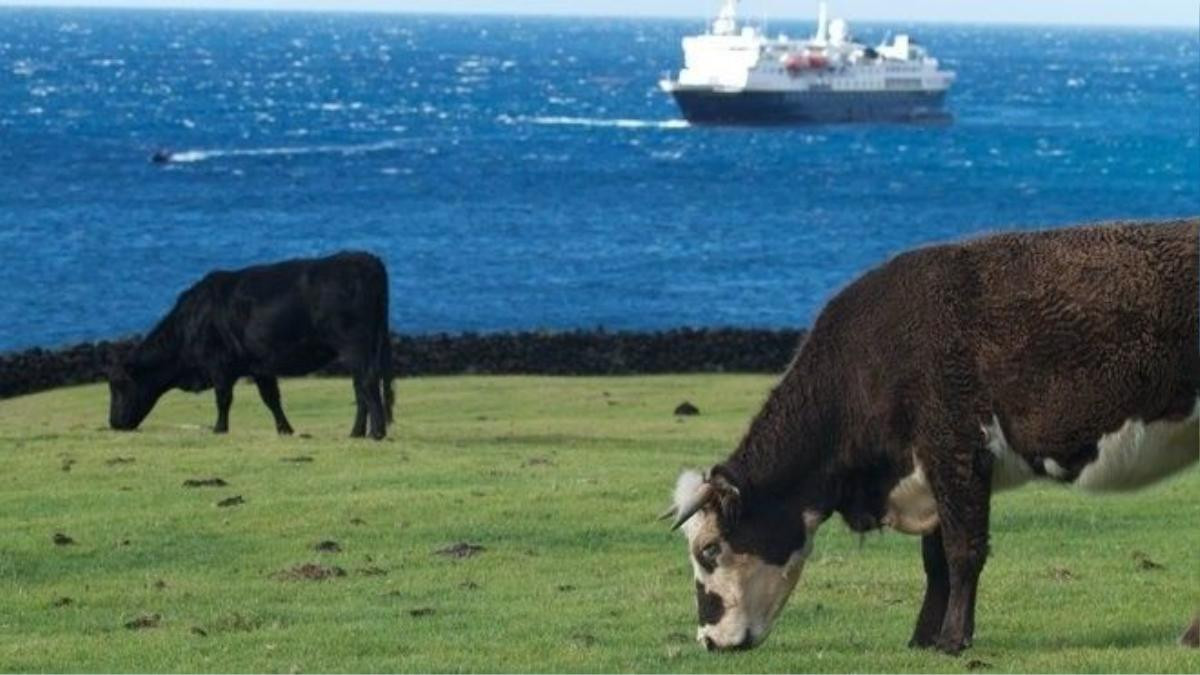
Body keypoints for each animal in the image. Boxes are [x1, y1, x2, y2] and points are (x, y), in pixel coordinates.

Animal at [109, 251, 393, 437]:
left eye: (119, 385)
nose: (113, 423)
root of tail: (368, 260)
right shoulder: (259, 366)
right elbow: (271, 399)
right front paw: (285, 429)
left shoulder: (219, 364)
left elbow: (223, 398)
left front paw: (219, 428)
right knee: (360, 387)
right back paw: (357, 432)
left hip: (355, 347)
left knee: (367, 383)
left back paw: (376, 432)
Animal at [667, 219, 1200, 653]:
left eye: (709, 549)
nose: (708, 640)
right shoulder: (931, 466)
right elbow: (935, 560)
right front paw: (923, 636)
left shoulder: (956, 451)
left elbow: (963, 551)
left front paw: (952, 640)